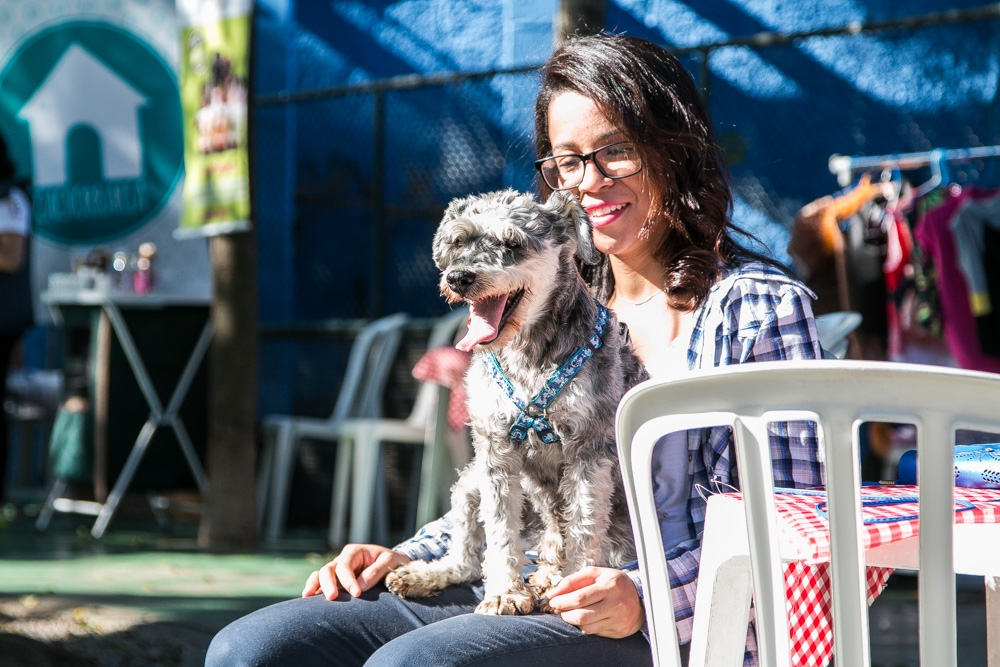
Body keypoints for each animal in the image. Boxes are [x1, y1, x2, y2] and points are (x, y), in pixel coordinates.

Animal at [386, 188, 644, 616]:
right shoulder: (495, 451)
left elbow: (585, 522)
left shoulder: (589, 450)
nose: (458, 277)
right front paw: (506, 592)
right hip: (470, 484)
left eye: (513, 244)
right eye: (459, 241)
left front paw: (575, 586)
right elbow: (499, 530)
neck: (527, 352)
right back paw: (428, 574)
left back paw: (552, 578)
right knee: (467, 558)